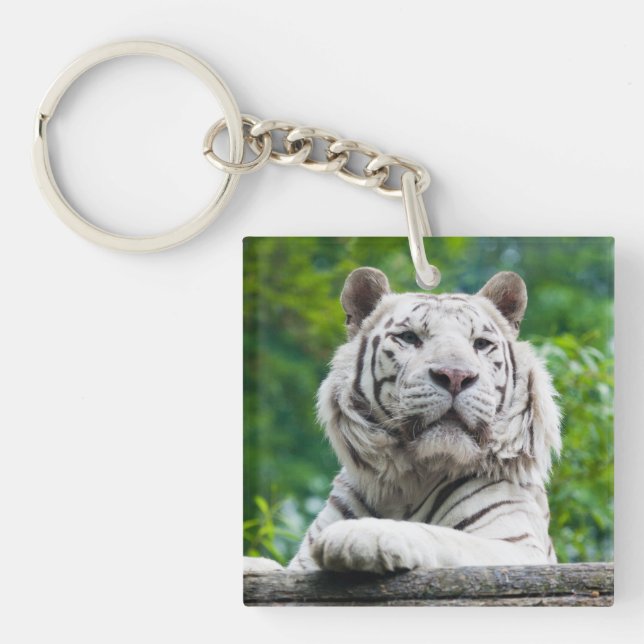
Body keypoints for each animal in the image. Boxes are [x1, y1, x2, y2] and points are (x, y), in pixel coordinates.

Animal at [245, 267, 561, 574]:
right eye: (409, 338)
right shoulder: (300, 564)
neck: (406, 483)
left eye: (481, 344)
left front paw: (359, 535)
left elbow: (440, 534)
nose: (455, 376)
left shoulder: (517, 545)